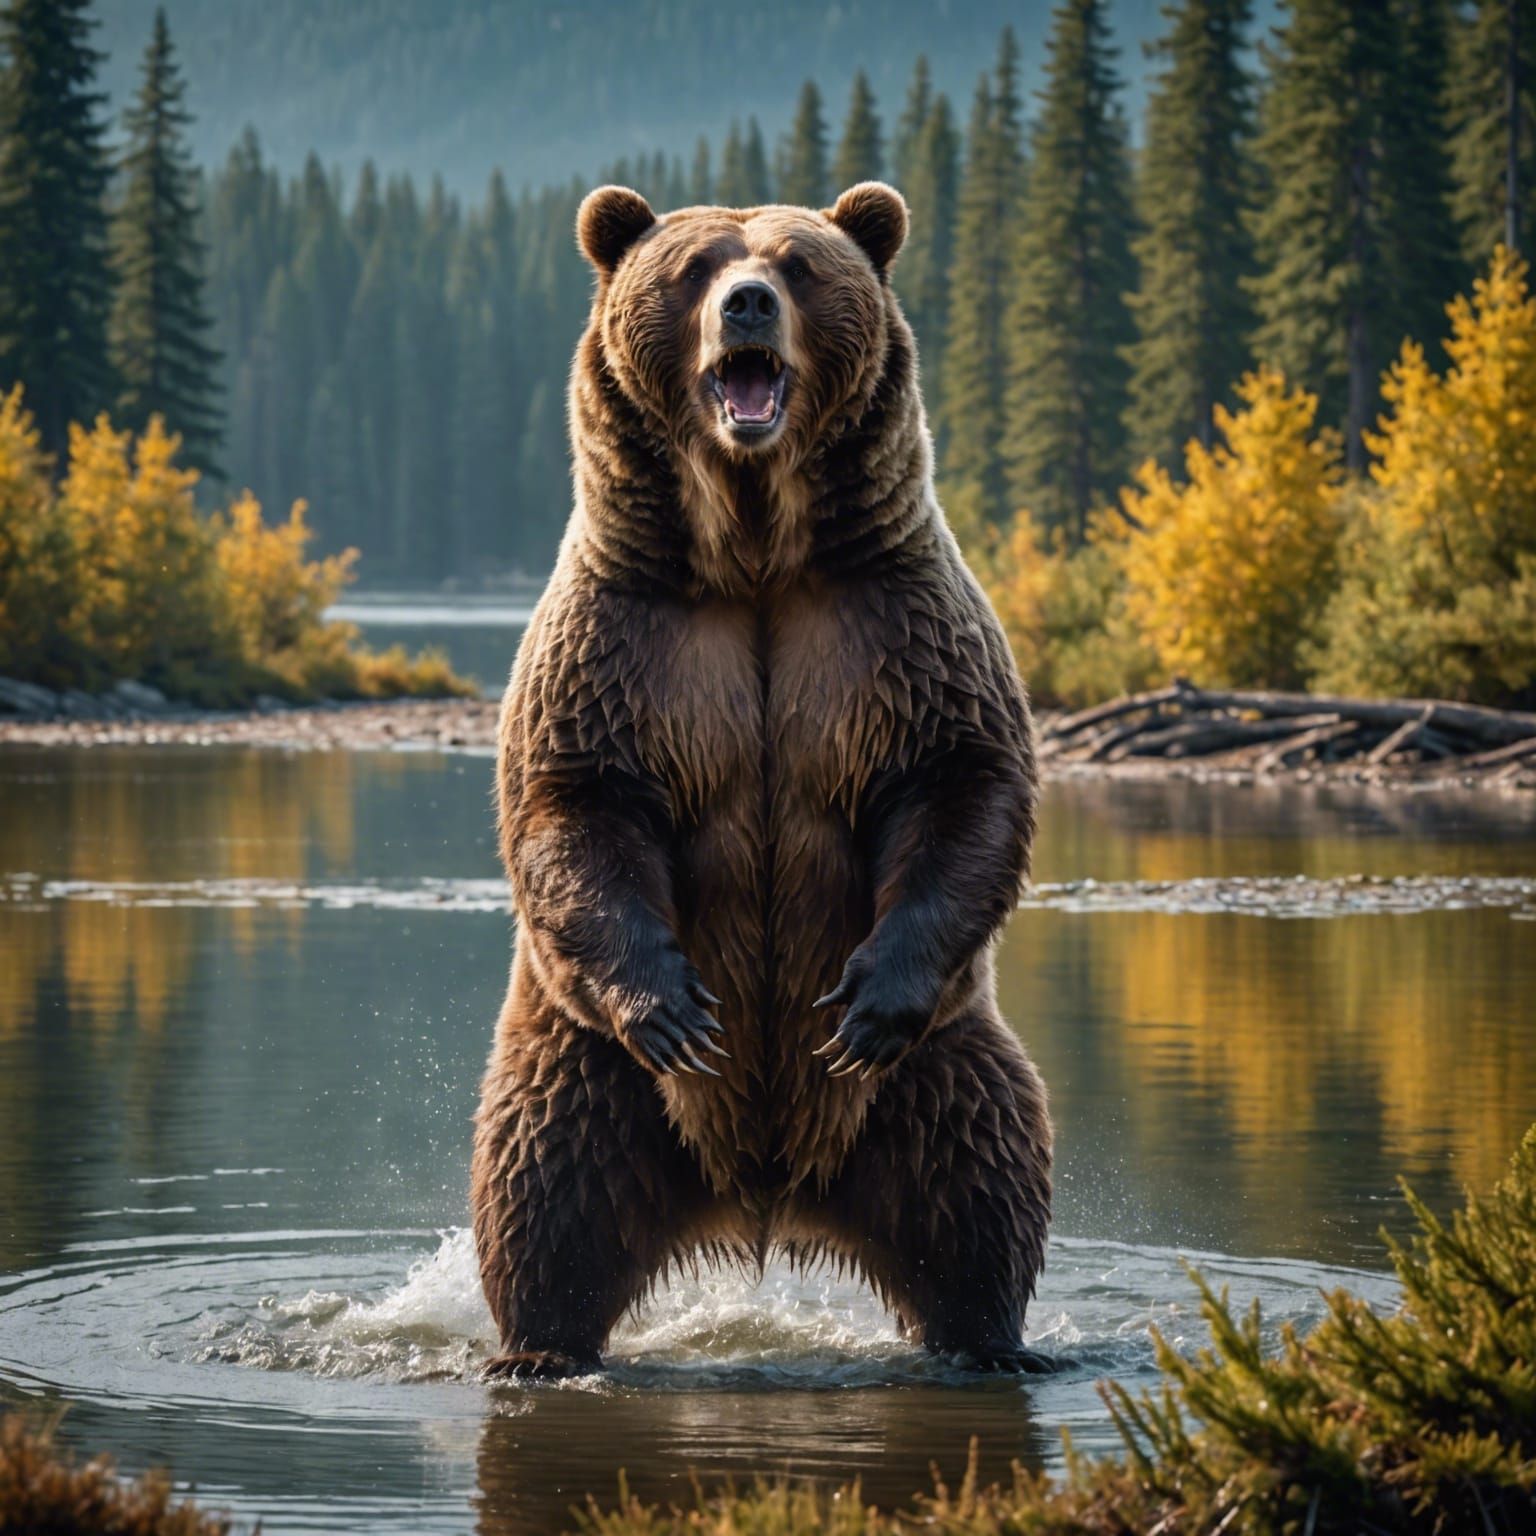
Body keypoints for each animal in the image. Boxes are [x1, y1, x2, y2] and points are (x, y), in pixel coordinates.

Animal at [470, 181, 1052, 1379]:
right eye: (695, 267)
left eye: (799, 266)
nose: (747, 305)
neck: (754, 552)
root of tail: (764, 1195)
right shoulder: (623, 643)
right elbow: (575, 803)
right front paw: (674, 1010)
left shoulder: (892, 624)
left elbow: (961, 778)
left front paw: (866, 1002)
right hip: (588, 1079)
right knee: (544, 1197)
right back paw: (537, 1348)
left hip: (933, 1079)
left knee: (981, 1187)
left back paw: (990, 1341)